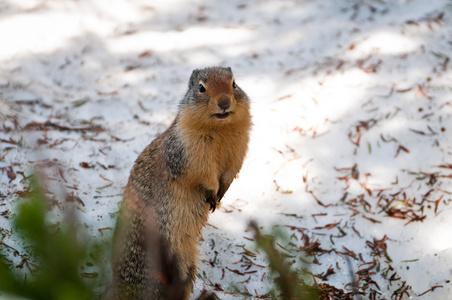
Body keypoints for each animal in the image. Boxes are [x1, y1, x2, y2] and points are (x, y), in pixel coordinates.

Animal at [111, 67, 252, 298]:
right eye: (201, 87)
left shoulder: (238, 150)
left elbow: (230, 174)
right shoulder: (191, 153)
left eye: (234, 83)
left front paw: (221, 194)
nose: (224, 102)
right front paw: (212, 194)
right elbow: (204, 175)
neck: (221, 130)